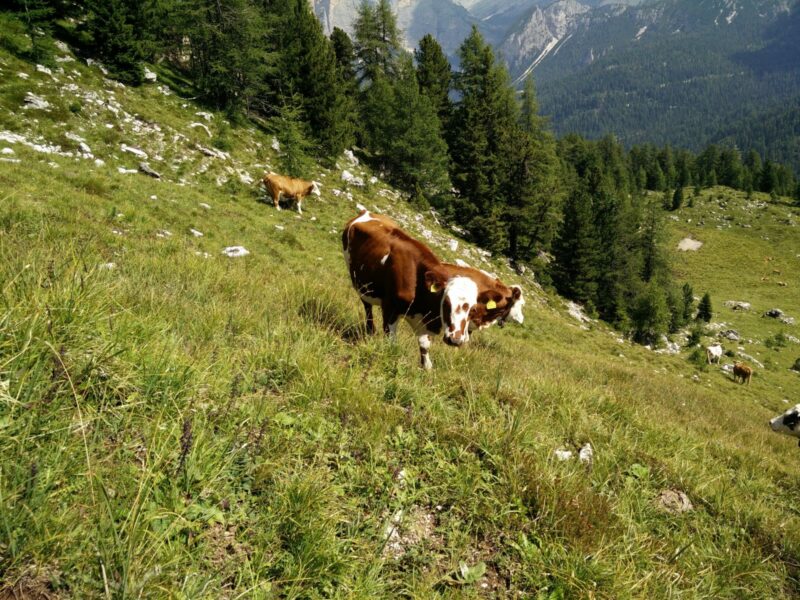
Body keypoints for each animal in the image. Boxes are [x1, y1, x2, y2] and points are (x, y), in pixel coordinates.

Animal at [342, 211, 524, 369]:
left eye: (472, 309)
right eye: (446, 303)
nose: (454, 340)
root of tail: (366, 212)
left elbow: (424, 345)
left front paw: (427, 367)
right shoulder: (390, 309)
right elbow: (391, 340)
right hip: (361, 285)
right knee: (367, 308)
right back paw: (370, 331)